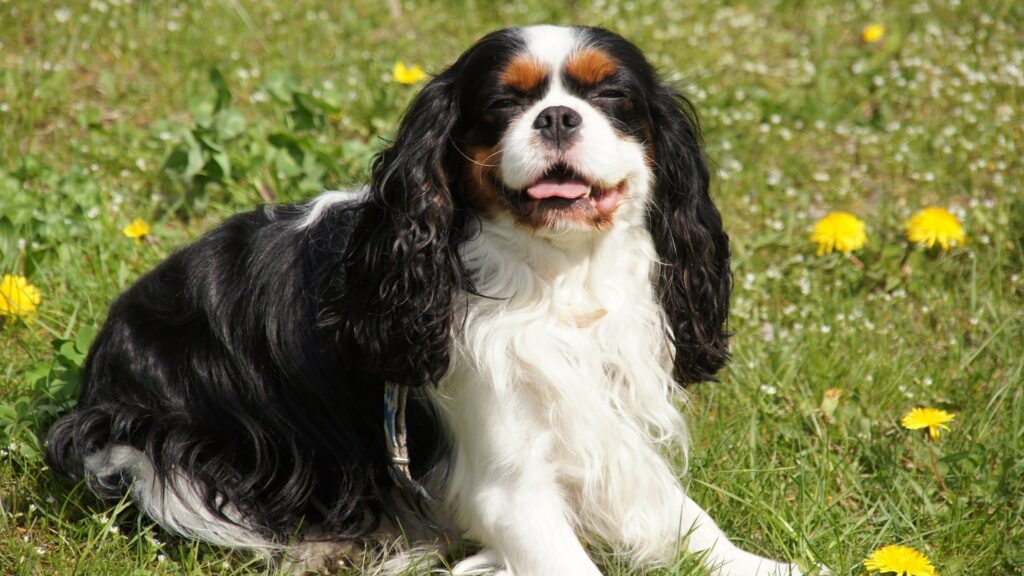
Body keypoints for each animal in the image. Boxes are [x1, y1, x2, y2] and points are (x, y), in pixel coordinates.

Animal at [48, 24, 811, 569]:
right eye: (504, 103)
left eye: (611, 98)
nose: (557, 117)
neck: (556, 279)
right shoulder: (507, 485)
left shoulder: (606, 425)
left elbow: (686, 521)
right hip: (160, 452)